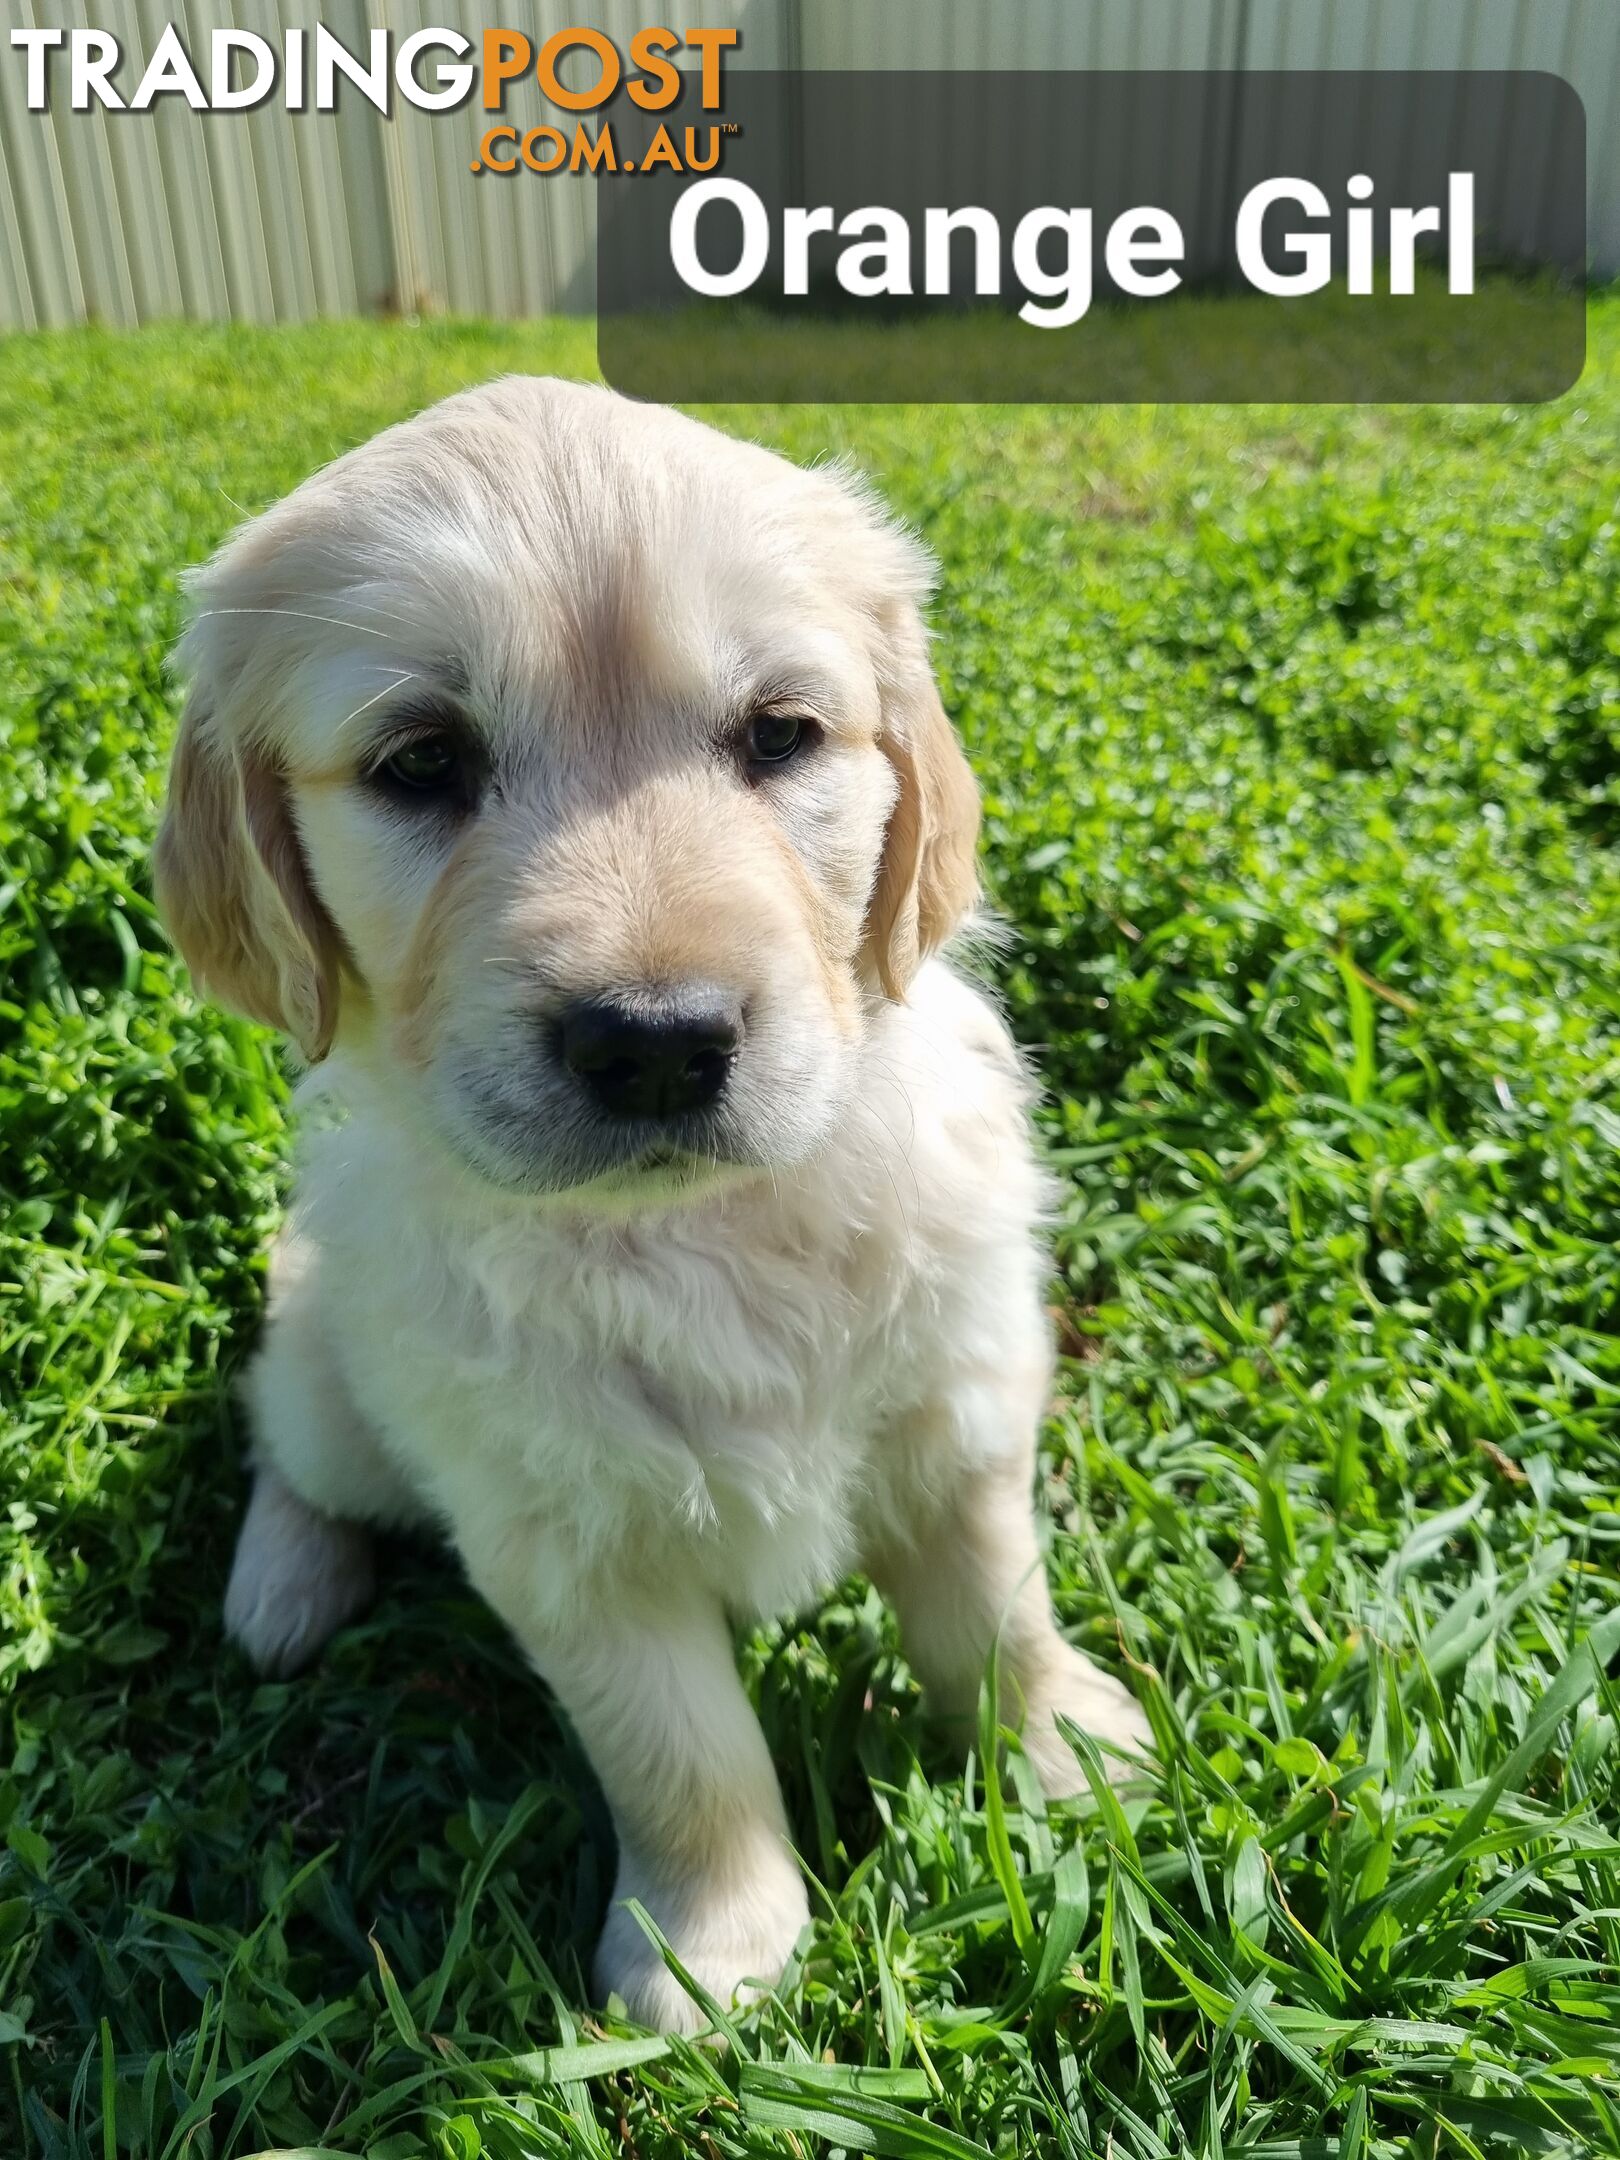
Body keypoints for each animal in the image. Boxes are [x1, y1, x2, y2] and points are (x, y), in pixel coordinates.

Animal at [155, 380, 1157, 2030]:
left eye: (781, 735)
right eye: (421, 761)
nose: (658, 1043)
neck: (702, 1231)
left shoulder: (960, 1411)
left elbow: (999, 1609)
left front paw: (1067, 1749)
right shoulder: (561, 1533)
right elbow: (682, 1753)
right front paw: (714, 1949)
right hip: (332, 1372)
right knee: (296, 1451)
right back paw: (280, 1589)